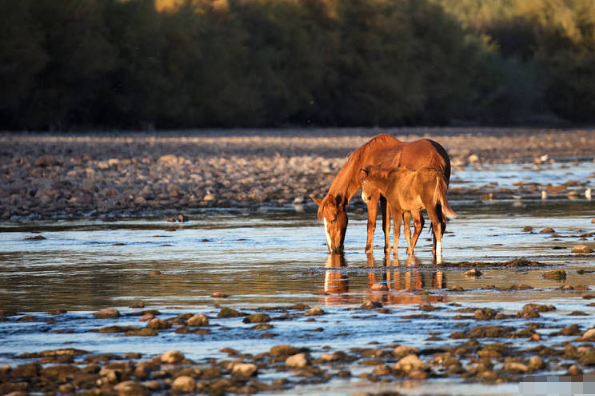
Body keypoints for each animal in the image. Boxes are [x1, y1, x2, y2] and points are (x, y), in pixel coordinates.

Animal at [310, 135, 450, 255]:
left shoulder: (374, 196)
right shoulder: (385, 197)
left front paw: (368, 250)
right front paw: (387, 249)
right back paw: (434, 250)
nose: (333, 249)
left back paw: (409, 251)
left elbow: (371, 225)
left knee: (420, 223)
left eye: (333, 219)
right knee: (439, 223)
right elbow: (385, 225)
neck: (362, 160)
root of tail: (436, 155)